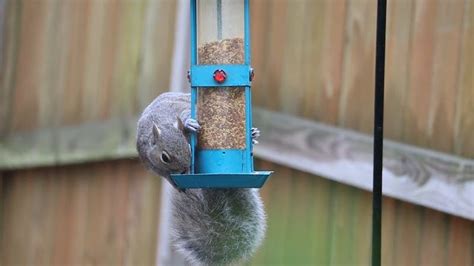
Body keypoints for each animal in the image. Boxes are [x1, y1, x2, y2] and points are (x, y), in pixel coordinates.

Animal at [136, 92, 266, 266]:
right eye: (165, 157)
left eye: (189, 147)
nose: (185, 169)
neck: (163, 124)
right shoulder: (151, 162)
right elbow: (166, 175)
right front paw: (175, 182)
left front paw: (188, 124)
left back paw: (252, 135)